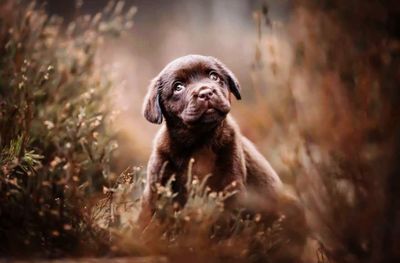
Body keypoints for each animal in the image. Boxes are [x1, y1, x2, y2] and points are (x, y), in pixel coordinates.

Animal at [139, 54, 282, 226]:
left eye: (214, 76)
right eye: (178, 87)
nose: (206, 92)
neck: (200, 140)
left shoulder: (230, 182)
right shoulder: (158, 183)